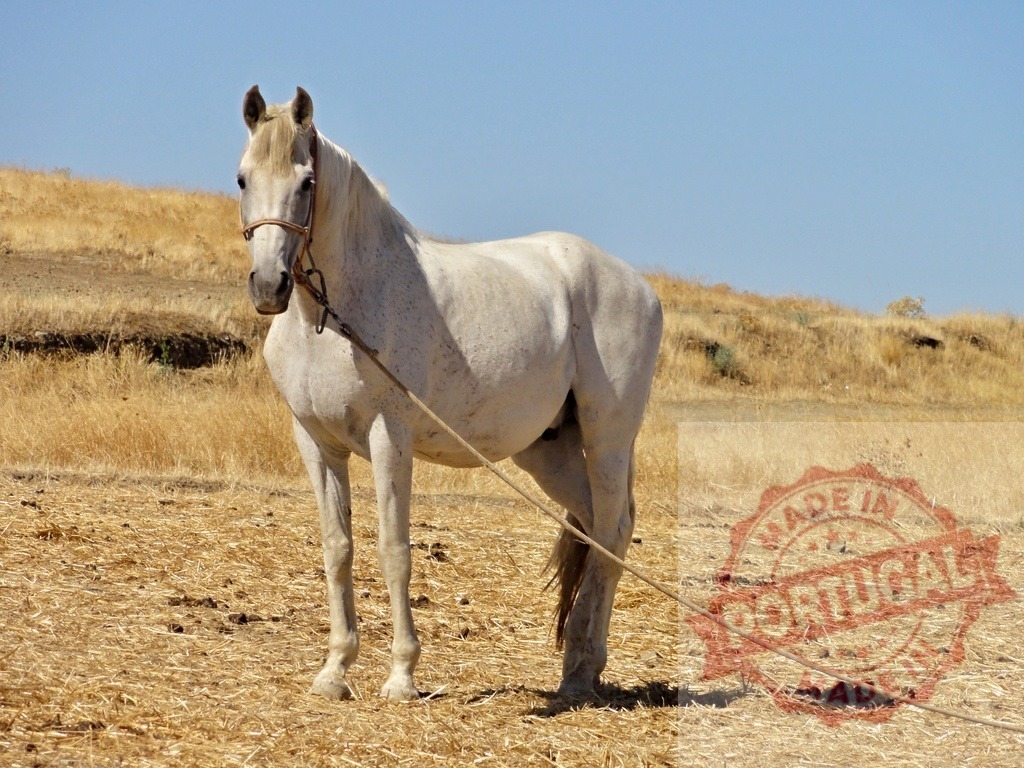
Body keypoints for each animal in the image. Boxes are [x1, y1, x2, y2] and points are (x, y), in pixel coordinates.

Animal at [237, 86, 663, 701]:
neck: (334, 317)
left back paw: (584, 671)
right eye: (243, 179)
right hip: (549, 450)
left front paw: (401, 676)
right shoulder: (317, 443)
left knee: (613, 531)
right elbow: (338, 549)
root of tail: (641, 288)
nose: (269, 286)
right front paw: (335, 670)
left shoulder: (389, 438)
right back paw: (574, 669)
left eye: (307, 183)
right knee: (591, 527)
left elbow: (394, 550)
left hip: (608, 441)